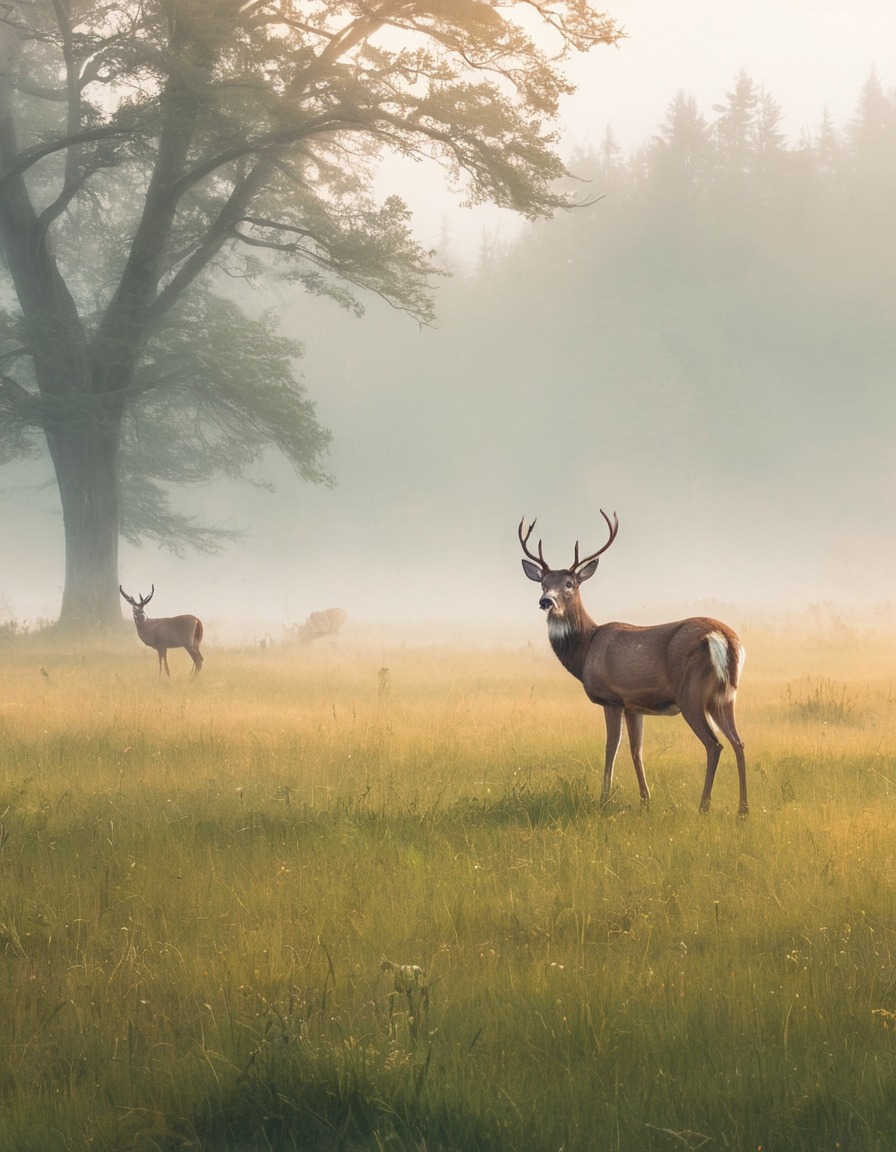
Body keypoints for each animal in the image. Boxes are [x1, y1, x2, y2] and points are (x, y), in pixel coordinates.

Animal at [520, 513, 741, 820]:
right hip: (725, 695)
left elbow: (611, 747)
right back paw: (743, 810)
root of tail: (721, 637)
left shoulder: (611, 698)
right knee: (738, 742)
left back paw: (703, 807)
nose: (545, 601)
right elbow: (637, 749)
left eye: (569, 583)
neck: (586, 649)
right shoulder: (634, 705)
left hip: (692, 695)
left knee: (715, 744)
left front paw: (604, 798)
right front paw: (645, 800)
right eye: (542, 583)